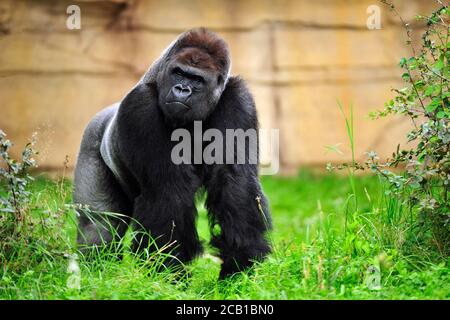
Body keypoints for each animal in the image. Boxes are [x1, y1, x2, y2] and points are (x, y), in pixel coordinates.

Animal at [73, 28, 270, 278]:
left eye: (196, 79)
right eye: (179, 73)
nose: (182, 90)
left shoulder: (238, 98)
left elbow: (234, 180)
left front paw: (240, 261)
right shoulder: (141, 104)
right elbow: (167, 188)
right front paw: (167, 270)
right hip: (90, 140)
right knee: (99, 225)